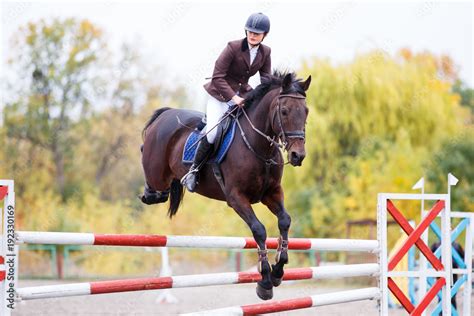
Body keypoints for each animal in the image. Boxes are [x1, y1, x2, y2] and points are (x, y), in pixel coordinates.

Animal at [141, 70, 312, 300]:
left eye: (306, 111)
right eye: (284, 111)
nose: (297, 156)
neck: (259, 146)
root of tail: (166, 114)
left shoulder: (272, 193)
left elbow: (285, 221)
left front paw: (278, 271)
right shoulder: (236, 197)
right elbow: (259, 230)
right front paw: (265, 281)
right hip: (156, 172)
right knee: (151, 177)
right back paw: (151, 192)